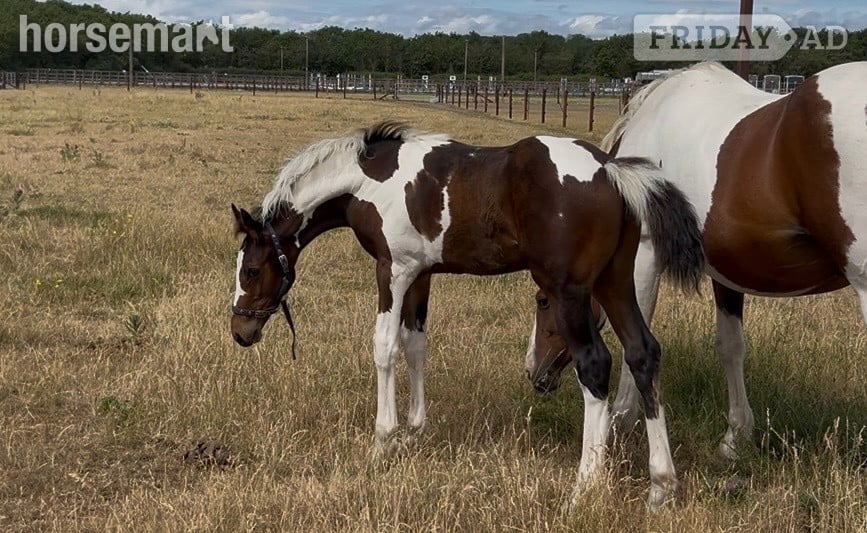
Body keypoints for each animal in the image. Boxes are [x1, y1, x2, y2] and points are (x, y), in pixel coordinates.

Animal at [229, 121, 705, 508]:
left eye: (250, 270)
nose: (240, 330)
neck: (371, 181)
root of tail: (611, 170)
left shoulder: (392, 270)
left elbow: (385, 347)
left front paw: (383, 442)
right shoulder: (420, 273)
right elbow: (415, 345)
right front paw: (414, 432)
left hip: (570, 292)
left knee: (595, 364)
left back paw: (584, 488)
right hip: (615, 282)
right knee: (642, 353)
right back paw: (661, 486)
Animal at [525, 61, 867, 460]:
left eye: (542, 301)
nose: (534, 371)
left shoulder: (644, 256)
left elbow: (634, 338)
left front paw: (619, 425)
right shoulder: (727, 274)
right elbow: (731, 346)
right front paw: (735, 438)